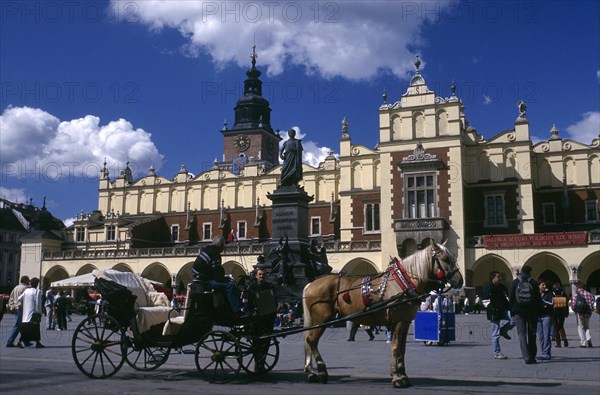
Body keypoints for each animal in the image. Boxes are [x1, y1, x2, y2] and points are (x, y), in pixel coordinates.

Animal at [302, 241, 462, 390]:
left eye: (453, 257)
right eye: (445, 259)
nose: (460, 280)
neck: (403, 282)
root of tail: (310, 284)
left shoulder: (405, 322)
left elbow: (402, 349)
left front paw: (403, 375)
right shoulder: (398, 321)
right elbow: (396, 347)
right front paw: (397, 378)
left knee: (309, 341)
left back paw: (311, 373)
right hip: (321, 318)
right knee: (311, 340)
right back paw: (322, 371)